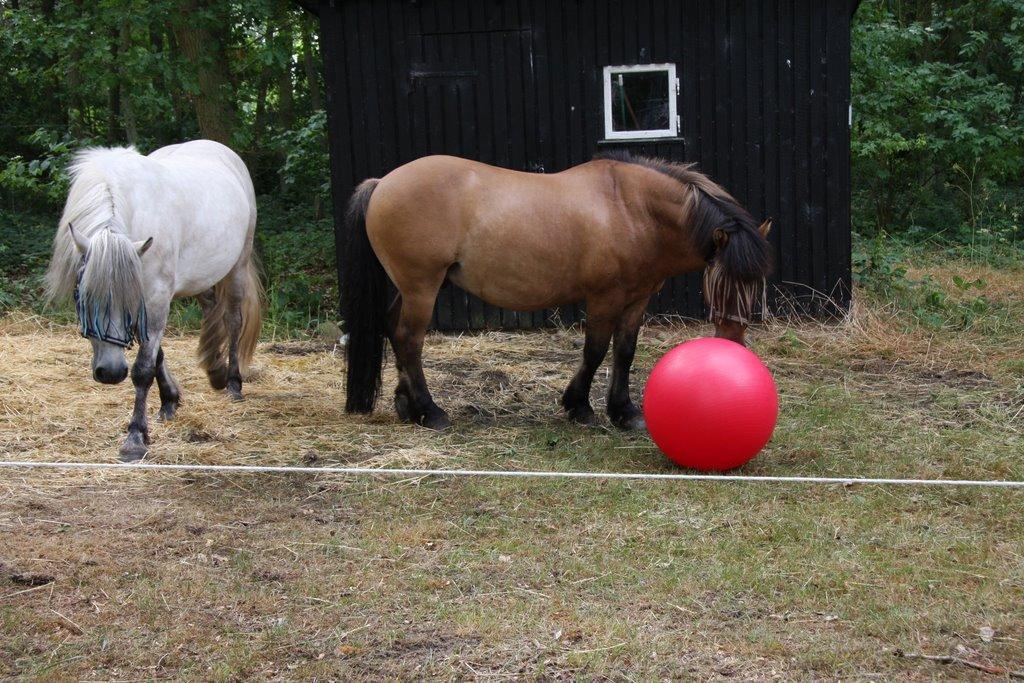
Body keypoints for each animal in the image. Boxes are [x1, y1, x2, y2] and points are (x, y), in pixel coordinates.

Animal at [45, 140, 263, 461]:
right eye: (82, 297)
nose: (110, 373)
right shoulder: (151, 302)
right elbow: (156, 353)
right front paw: (169, 400)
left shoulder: (155, 297)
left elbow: (143, 368)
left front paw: (135, 437)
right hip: (200, 277)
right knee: (211, 310)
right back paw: (215, 370)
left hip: (237, 265)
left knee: (233, 321)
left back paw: (233, 383)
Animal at [340, 151, 772, 431]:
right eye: (720, 282)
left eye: (756, 285)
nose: (733, 344)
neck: (631, 208)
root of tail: (382, 183)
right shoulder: (604, 298)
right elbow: (595, 351)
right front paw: (579, 407)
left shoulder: (638, 298)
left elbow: (625, 352)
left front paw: (625, 412)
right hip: (422, 287)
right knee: (408, 339)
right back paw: (430, 412)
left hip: (414, 288)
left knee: (393, 330)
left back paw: (406, 406)